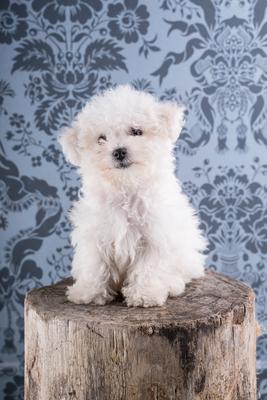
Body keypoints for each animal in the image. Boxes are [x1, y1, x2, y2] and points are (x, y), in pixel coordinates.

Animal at [59, 86, 208, 308]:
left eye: (136, 131)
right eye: (101, 139)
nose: (119, 151)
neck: (126, 188)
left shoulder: (155, 236)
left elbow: (149, 267)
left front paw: (144, 294)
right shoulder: (95, 233)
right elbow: (94, 263)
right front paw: (88, 292)